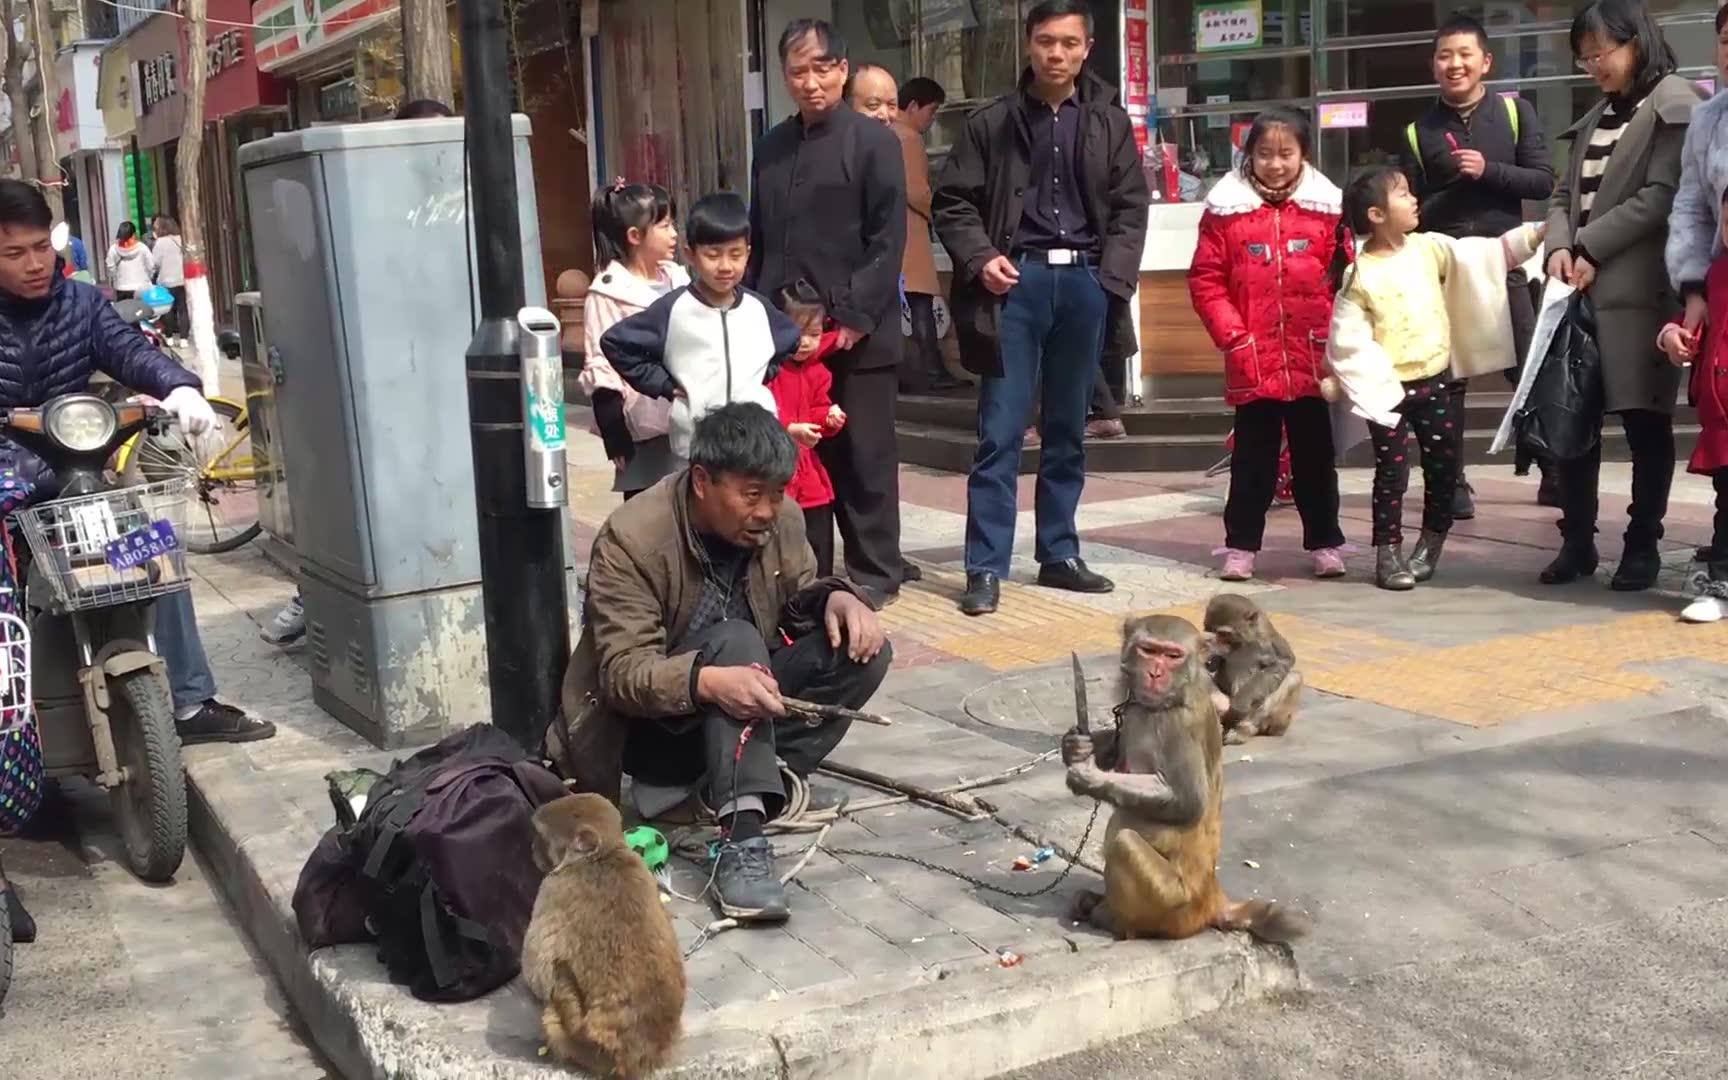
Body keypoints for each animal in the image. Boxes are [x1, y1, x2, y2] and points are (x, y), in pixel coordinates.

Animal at [514, 791, 684, 1078]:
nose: (531, 849)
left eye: (541, 836)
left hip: (579, 1044)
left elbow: (537, 969)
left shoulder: (553, 887)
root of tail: (633, 1057)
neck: (601, 856)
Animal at [1050, 615, 1306, 940]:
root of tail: (1212, 898)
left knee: (1124, 843)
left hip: (1173, 906)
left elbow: (1187, 801)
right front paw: (1075, 746)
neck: (1170, 698)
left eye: (1172, 656)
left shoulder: (1177, 726)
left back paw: (1114, 920)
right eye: (1148, 650)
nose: (1155, 673)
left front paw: (1086, 776)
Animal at [1202, 594, 1299, 746]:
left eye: (1223, 633)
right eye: (1208, 628)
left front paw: (1240, 704)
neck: (1242, 644)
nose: (1212, 640)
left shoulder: (1266, 638)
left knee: (1294, 678)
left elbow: (1281, 663)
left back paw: (1245, 730)